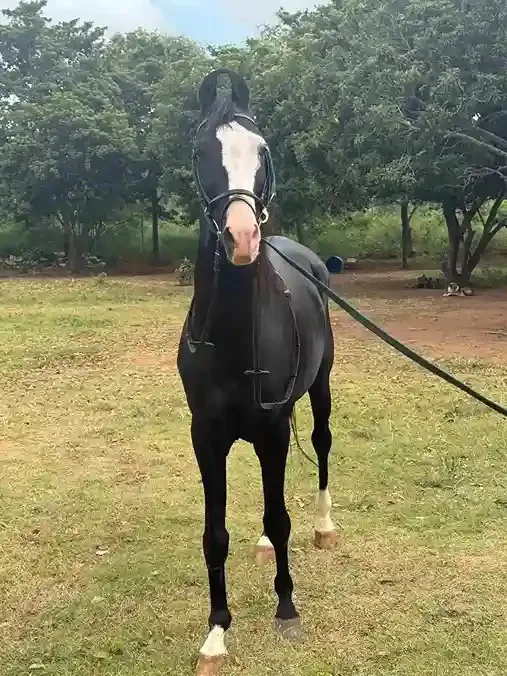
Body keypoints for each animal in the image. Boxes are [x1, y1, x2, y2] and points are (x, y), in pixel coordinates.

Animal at [177, 68, 338, 674]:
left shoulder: (270, 430)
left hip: (320, 387)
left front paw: (287, 610)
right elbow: (215, 535)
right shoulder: (207, 437)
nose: (241, 238)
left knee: (321, 444)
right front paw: (217, 632)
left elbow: (280, 516)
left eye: (262, 151)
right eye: (201, 150)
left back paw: (324, 526)